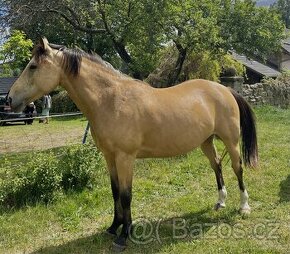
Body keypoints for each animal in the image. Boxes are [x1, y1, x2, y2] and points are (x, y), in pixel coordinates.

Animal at [6, 37, 258, 250]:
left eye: (33, 66)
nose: (9, 99)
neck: (111, 100)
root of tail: (224, 89)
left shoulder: (125, 158)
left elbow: (126, 195)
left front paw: (124, 235)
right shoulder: (109, 157)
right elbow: (115, 191)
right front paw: (113, 227)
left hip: (231, 141)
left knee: (237, 168)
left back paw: (244, 206)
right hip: (206, 142)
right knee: (217, 166)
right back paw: (220, 202)